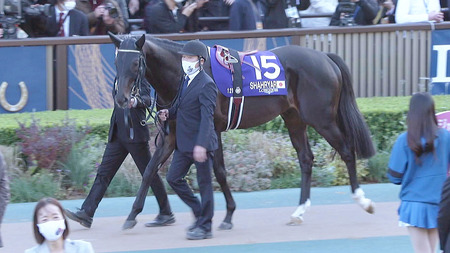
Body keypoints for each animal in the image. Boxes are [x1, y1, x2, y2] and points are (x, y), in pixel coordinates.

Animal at [109, 33, 376, 229]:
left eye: (135, 63)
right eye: (116, 62)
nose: (121, 98)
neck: (183, 76)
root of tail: (325, 57)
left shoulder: (212, 129)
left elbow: (219, 171)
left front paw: (228, 215)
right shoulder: (171, 134)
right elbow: (149, 170)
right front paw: (132, 215)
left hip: (322, 119)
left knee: (347, 150)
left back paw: (363, 201)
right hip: (294, 119)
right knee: (306, 159)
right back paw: (298, 212)